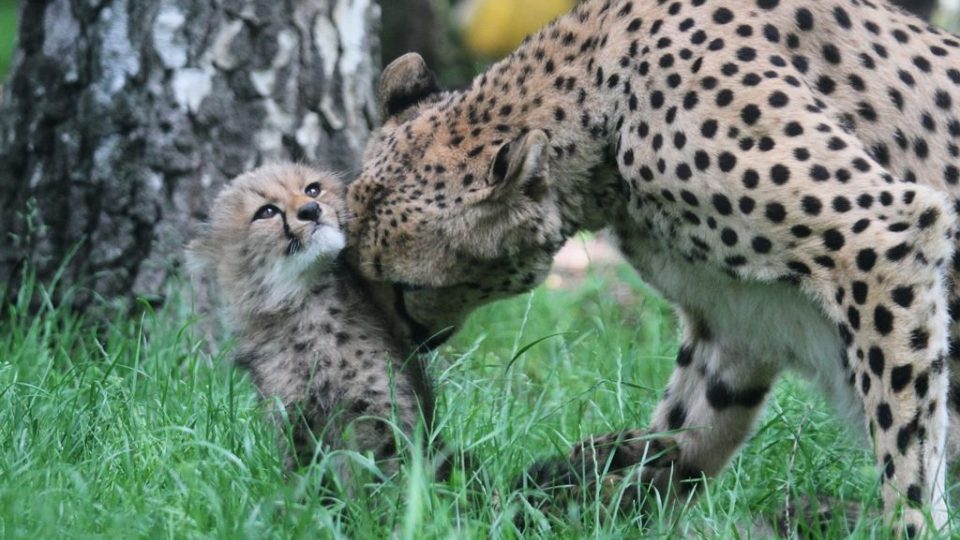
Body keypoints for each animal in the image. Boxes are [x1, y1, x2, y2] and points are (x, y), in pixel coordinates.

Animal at [348, 0, 960, 532]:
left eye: (405, 286)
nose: (402, 343)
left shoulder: (881, 238)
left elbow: (906, 451)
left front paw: (915, 526)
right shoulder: (742, 317)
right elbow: (691, 424)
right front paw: (592, 496)